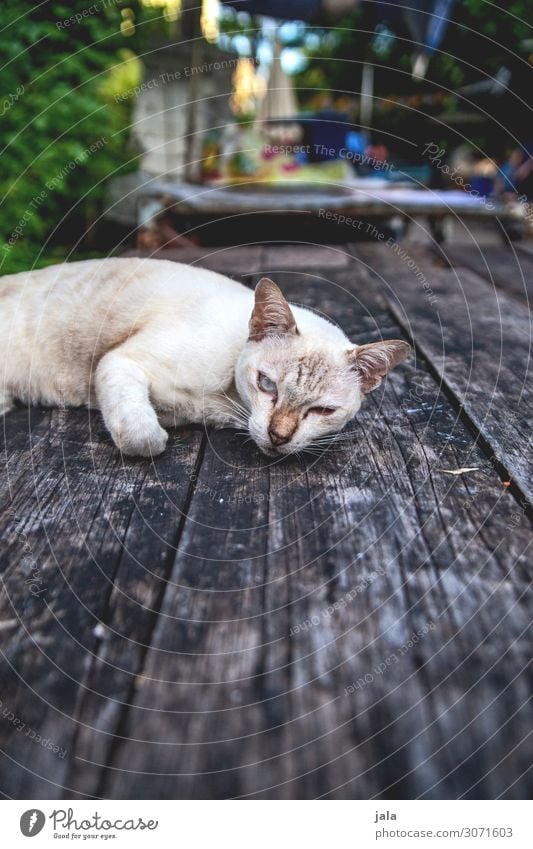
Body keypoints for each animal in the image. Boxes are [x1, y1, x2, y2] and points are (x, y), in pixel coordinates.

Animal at [0, 258, 410, 458]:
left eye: (323, 411)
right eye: (267, 385)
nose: (278, 438)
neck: (223, 403)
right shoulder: (120, 361)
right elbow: (143, 438)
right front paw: (156, 437)